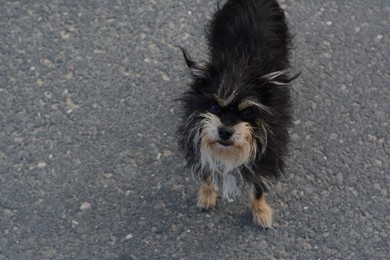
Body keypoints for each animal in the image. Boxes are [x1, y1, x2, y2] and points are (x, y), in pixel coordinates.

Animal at [177, 0, 298, 228]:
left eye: (248, 112)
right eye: (214, 108)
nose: (225, 131)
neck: (239, 69)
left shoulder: (267, 152)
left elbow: (258, 187)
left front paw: (260, 211)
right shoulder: (199, 138)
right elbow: (207, 170)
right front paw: (207, 195)